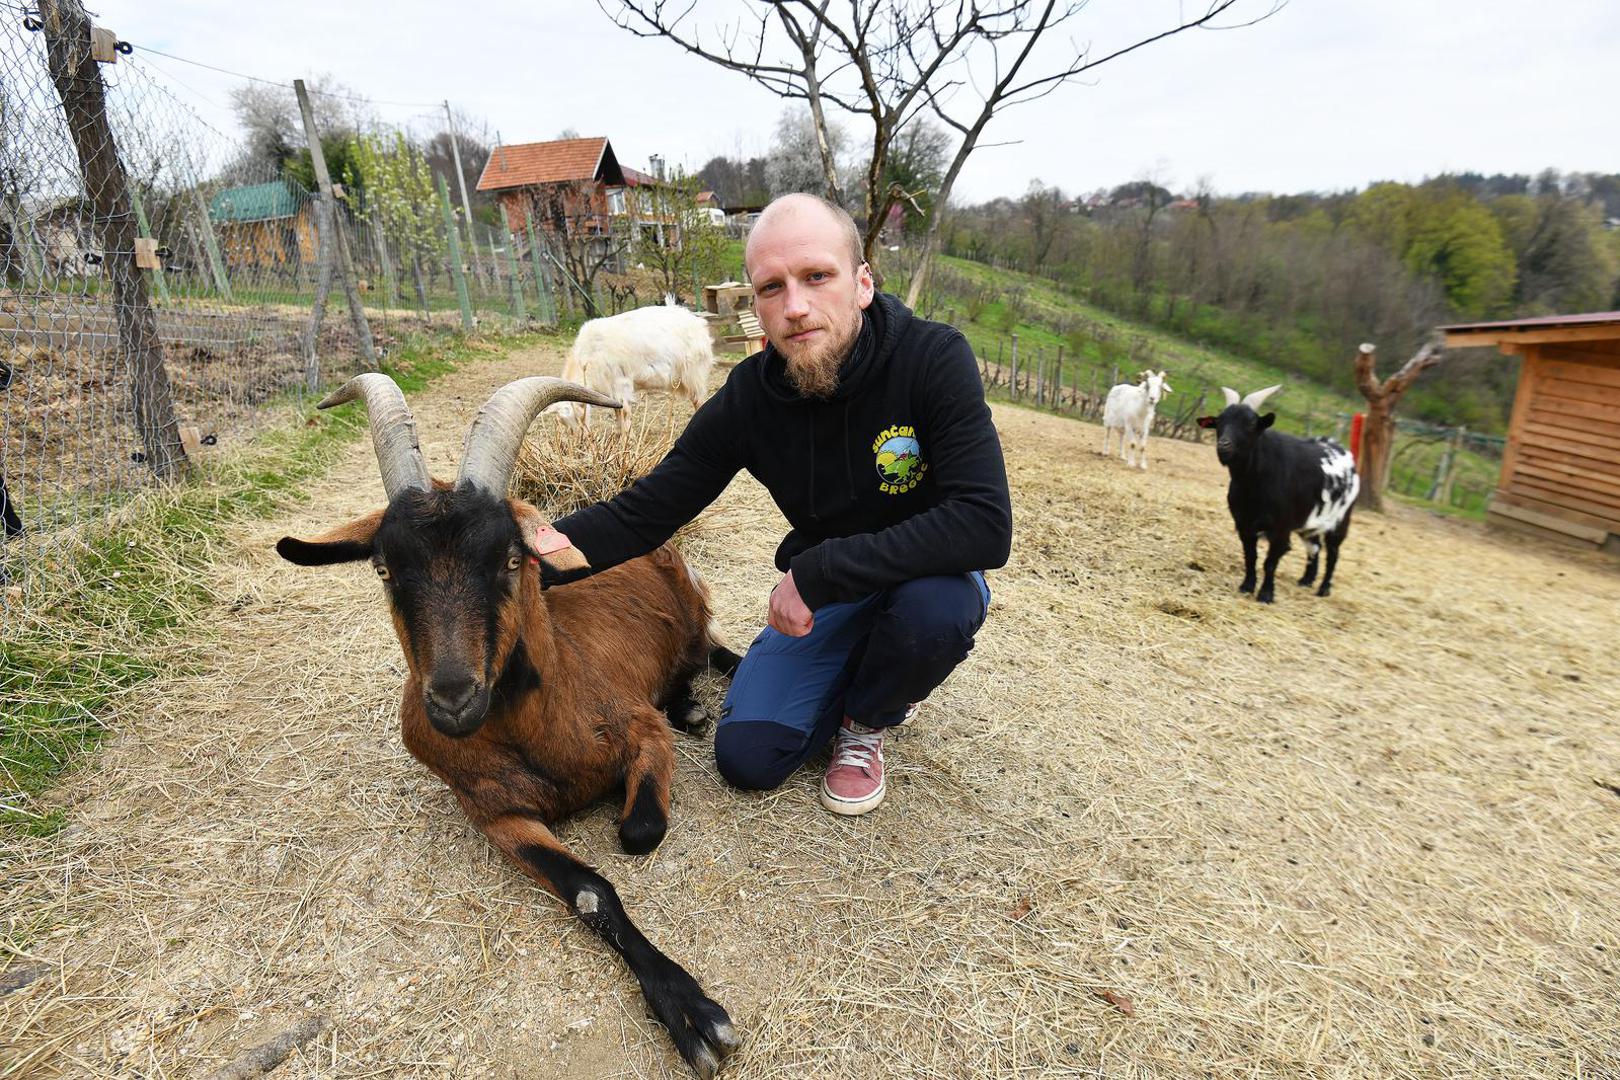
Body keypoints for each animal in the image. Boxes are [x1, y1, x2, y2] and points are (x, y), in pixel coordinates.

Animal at [283, 375, 745, 1075]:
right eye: (384, 568)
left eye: (509, 558)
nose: (452, 699)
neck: (542, 735)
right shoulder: (496, 816)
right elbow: (589, 891)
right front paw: (685, 1010)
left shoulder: (641, 729)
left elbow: (638, 831)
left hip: (694, 616)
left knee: (712, 651)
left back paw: (695, 700)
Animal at [550, 299, 716, 433]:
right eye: (563, 423)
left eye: (573, 416)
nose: (581, 438)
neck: (587, 356)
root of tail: (696, 322)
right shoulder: (612, 393)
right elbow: (618, 415)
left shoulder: (621, 384)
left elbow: (624, 414)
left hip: (694, 374)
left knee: (699, 401)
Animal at [1198, 386, 1360, 608]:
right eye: (1219, 421)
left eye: (1251, 424)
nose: (1224, 445)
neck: (1254, 483)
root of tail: (1344, 452)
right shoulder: (1244, 525)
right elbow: (1251, 557)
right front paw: (1247, 586)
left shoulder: (1281, 529)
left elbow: (1270, 562)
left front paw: (1266, 595)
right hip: (1310, 522)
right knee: (1315, 547)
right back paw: (1306, 580)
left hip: (1340, 519)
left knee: (1333, 552)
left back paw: (1324, 589)